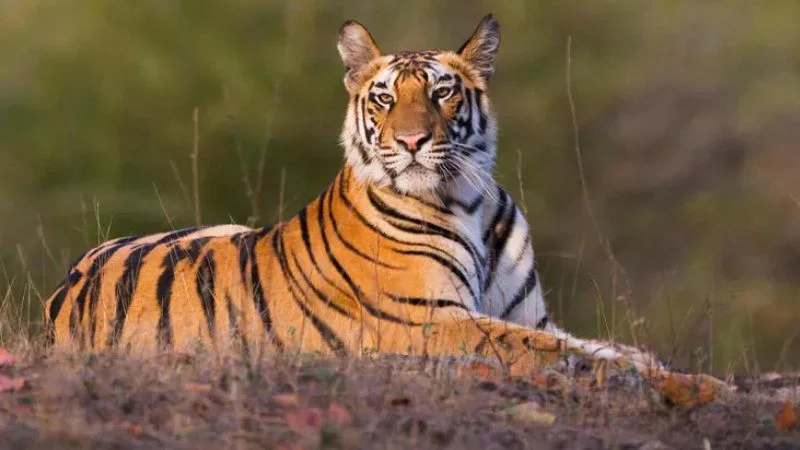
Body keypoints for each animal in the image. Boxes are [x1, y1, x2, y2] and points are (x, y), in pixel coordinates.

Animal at [43, 14, 669, 378]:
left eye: (442, 93)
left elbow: (595, 346)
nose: (412, 141)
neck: (469, 201)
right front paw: (670, 385)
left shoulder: (530, 317)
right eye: (385, 98)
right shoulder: (432, 321)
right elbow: (560, 353)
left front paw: (650, 364)